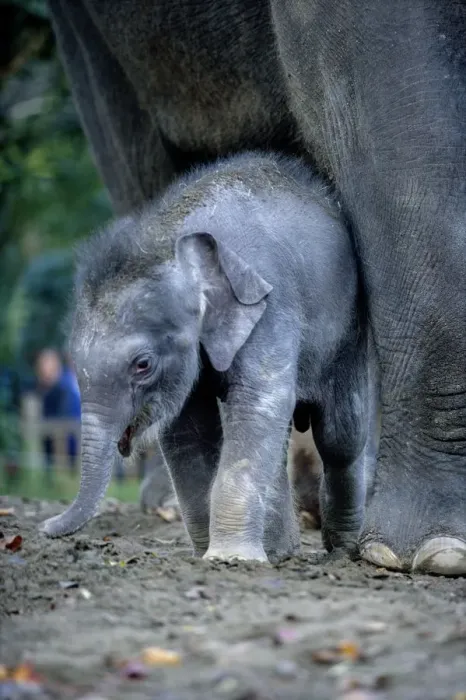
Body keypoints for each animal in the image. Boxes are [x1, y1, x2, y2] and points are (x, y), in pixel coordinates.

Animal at [40, 151, 376, 562]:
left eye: (142, 365)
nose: (44, 527)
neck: (172, 239)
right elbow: (189, 431)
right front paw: (207, 556)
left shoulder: (271, 306)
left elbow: (257, 404)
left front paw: (229, 558)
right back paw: (281, 552)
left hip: (350, 331)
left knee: (340, 435)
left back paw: (341, 551)